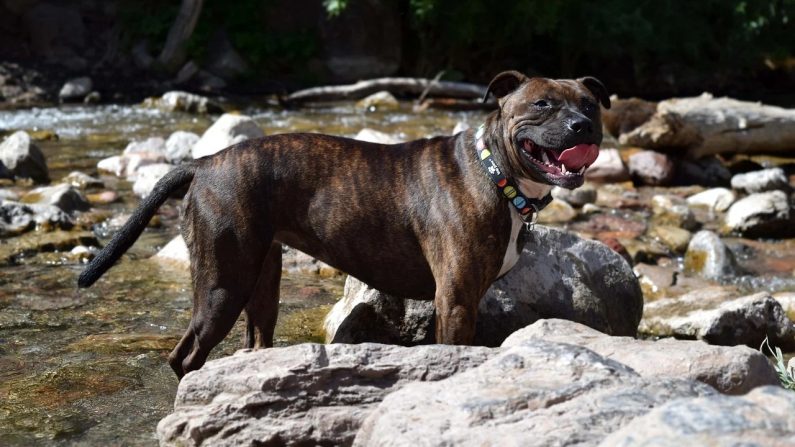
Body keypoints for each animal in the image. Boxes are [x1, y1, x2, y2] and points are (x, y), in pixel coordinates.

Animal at [79, 71, 608, 378]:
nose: (584, 126)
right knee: (184, 356)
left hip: (260, 281)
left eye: (589, 103)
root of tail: (205, 162)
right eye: (542, 104)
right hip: (221, 286)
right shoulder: (455, 301)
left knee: (255, 339)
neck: (494, 171)